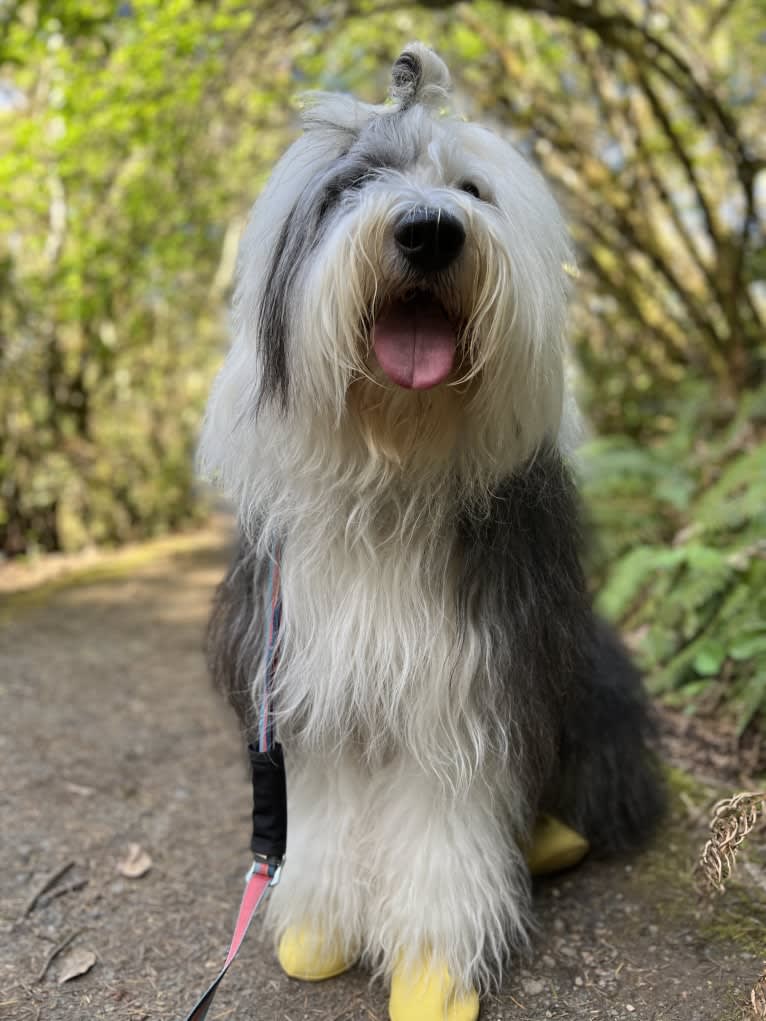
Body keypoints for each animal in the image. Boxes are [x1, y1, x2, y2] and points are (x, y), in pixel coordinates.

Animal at [199, 41, 665, 1021]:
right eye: (355, 184)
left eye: (472, 190)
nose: (428, 230)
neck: (395, 471)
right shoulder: (307, 670)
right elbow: (328, 806)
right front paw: (320, 923)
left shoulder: (474, 674)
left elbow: (449, 824)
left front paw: (433, 965)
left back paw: (554, 839)